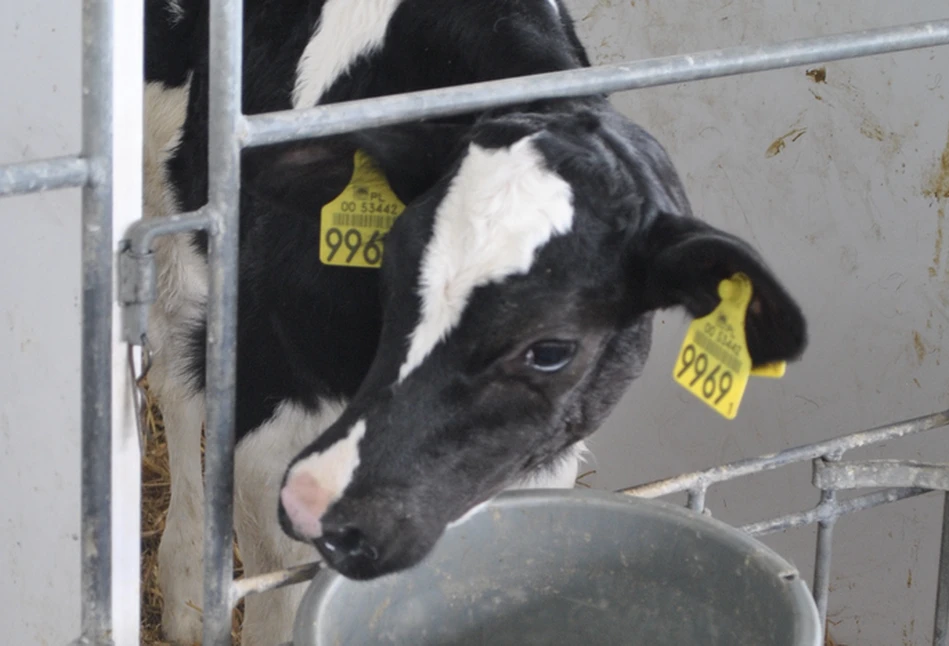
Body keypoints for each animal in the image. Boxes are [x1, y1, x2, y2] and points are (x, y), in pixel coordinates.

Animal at [143, 0, 808, 644]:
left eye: (552, 349)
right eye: (388, 271)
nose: (323, 502)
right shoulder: (266, 387)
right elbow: (276, 589)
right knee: (175, 373)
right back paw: (184, 589)